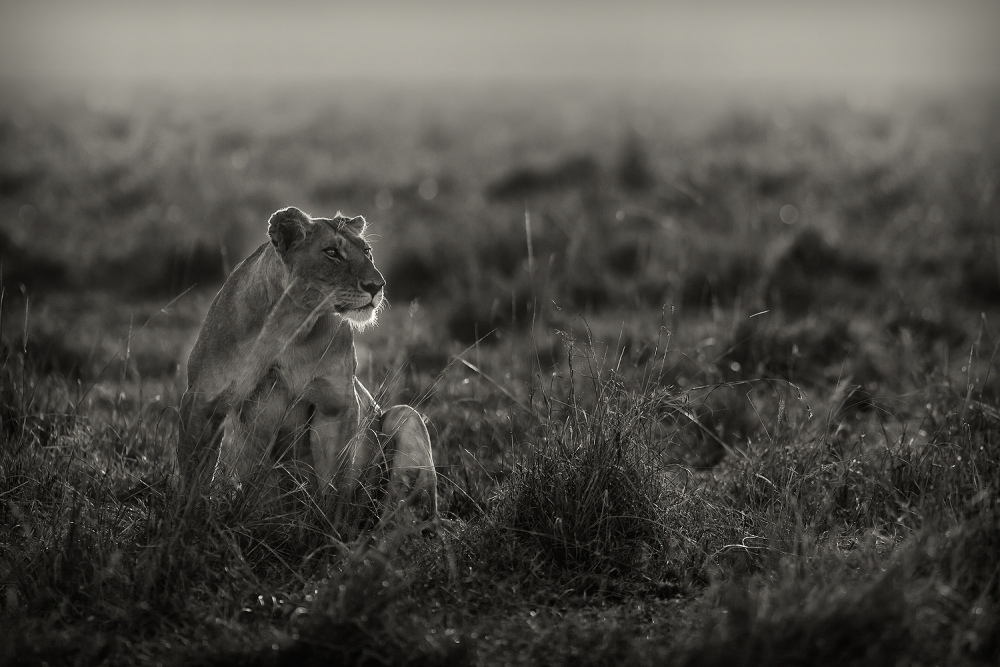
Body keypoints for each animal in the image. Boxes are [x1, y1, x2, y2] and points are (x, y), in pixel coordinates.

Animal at [177, 206, 436, 522]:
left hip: (405, 416)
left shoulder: (336, 403)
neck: (288, 324)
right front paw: (187, 520)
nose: (377, 286)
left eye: (367, 252)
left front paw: (326, 527)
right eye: (332, 252)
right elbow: (194, 475)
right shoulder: (204, 399)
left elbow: (334, 481)